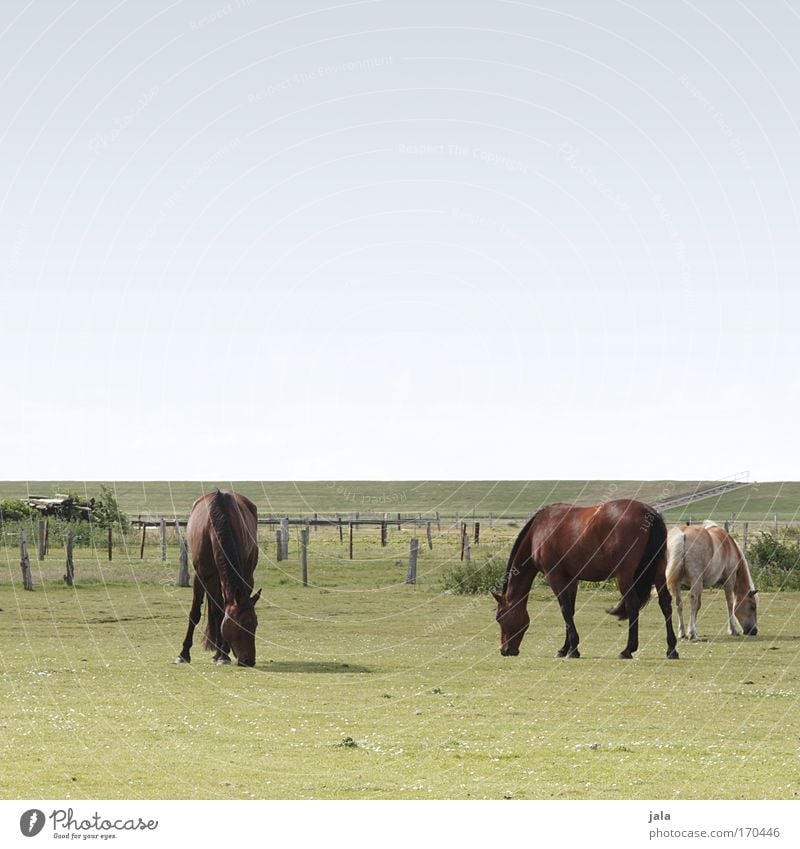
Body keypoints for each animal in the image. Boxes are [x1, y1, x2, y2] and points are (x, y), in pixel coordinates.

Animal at [177, 490, 260, 668]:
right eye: (240, 624)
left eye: (255, 624)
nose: (249, 661)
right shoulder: (202, 575)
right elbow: (197, 613)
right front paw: (184, 654)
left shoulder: (243, 575)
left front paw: (223, 654)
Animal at [490, 500, 680, 660]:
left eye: (500, 617)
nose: (505, 650)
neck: (539, 529)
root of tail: (648, 512)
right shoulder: (571, 579)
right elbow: (571, 611)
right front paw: (565, 648)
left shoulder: (555, 577)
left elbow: (565, 610)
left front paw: (573, 649)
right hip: (658, 572)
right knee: (665, 603)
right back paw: (671, 649)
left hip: (624, 575)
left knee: (633, 604)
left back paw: (628, 650)